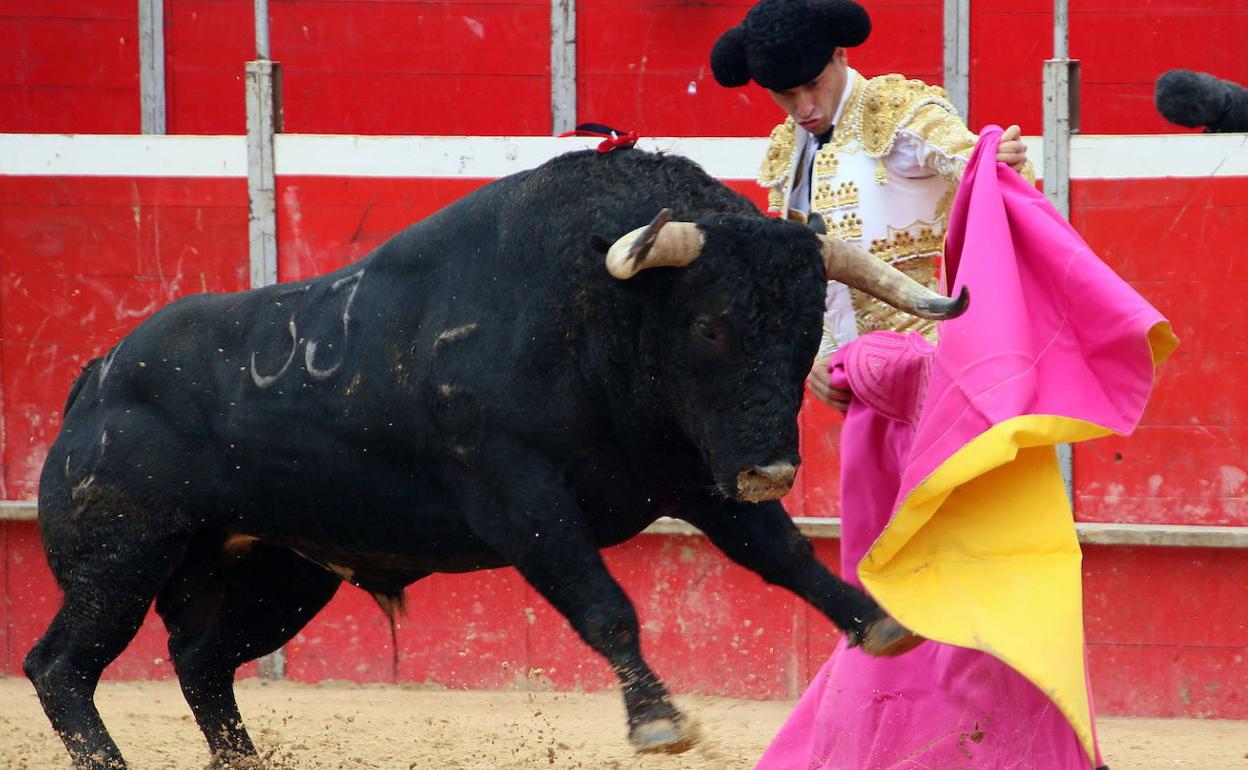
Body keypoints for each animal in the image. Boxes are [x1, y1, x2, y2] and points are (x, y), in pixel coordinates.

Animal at [26, 147, 963, 763]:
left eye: (806, 332)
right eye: (709, 327)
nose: (771, 470)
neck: (594, 314)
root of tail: (98, 379)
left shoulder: (696, 477)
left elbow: (785, 558)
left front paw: (881, 623)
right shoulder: (524, 502)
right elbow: (605, 605)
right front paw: (658, 720)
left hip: (283, 573)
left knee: (202, 662)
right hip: (120, 559)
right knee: (62, 666)